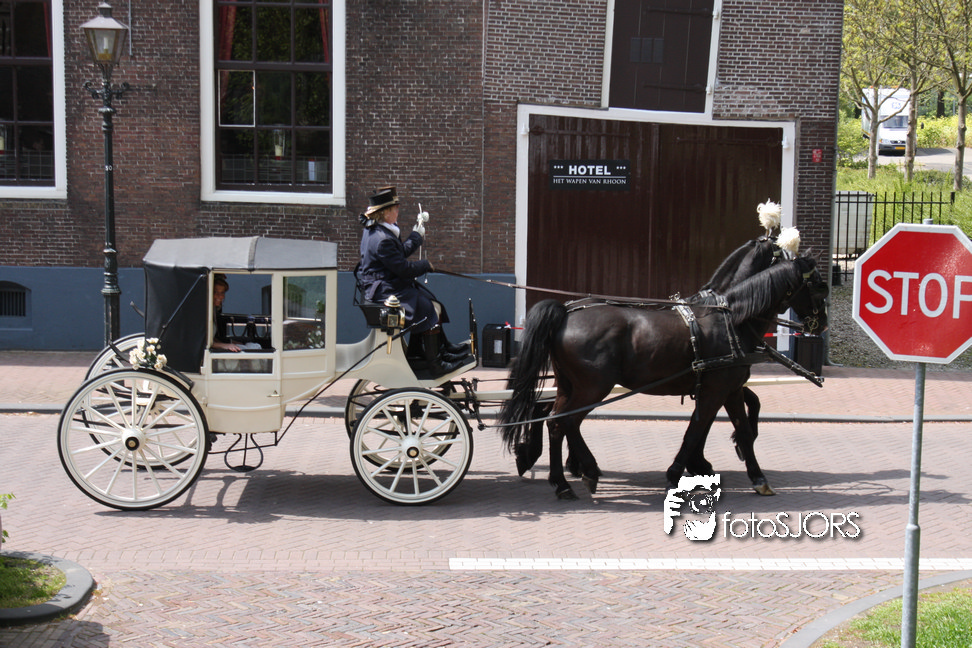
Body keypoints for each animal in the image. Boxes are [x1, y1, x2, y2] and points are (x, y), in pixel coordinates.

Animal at [498, 253, 828, 500]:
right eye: (819, 286)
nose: (822, 324)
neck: (732, 321)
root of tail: (565, 311)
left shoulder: (729, 390)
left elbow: (742, 430)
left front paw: (758, 478)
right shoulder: (714, 391)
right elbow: (695, 431)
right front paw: (675, 473)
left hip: (570, 386)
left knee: (555, 422)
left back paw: (563, 482)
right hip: (593, 388)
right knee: (565, 422)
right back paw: (582, 472)